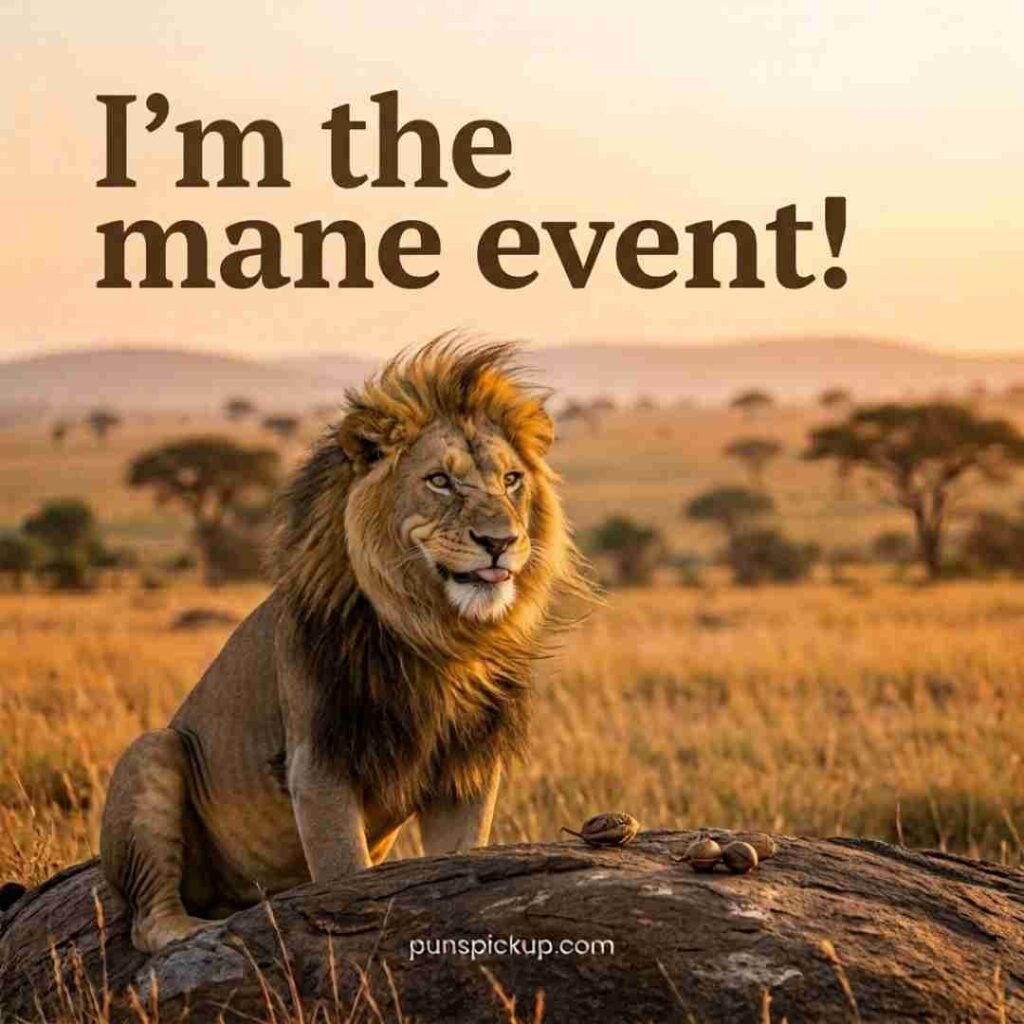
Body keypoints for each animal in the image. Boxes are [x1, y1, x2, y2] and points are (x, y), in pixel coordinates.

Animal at [100, 337, 586, 952]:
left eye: (511, 480)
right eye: (440, 481)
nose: (499, 541)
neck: (437, 637)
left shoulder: (467, 765)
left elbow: (460, 851)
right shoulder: (319, 760)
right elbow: (344, 871)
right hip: (153, 749)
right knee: (148, 923)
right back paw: (205, 930)